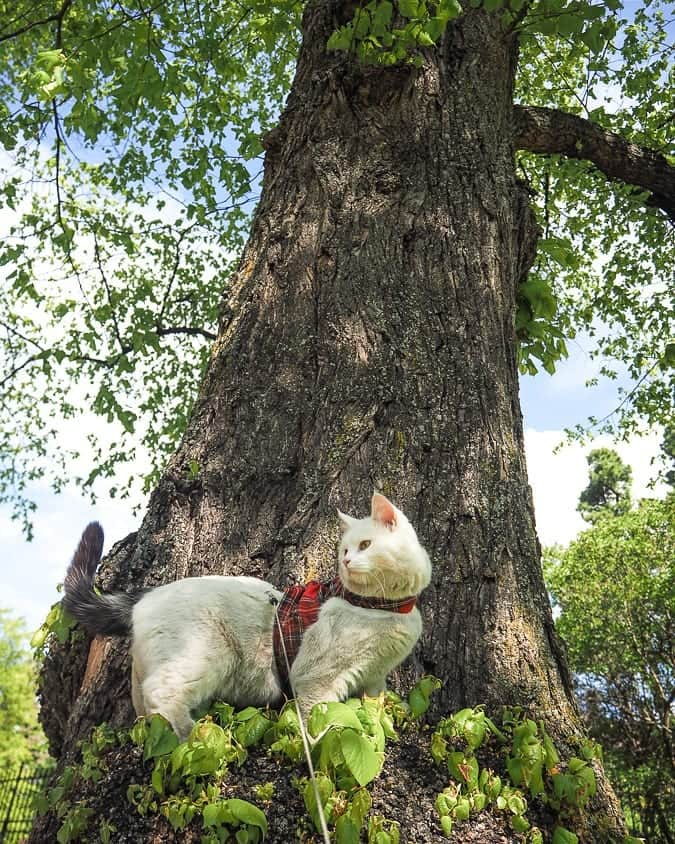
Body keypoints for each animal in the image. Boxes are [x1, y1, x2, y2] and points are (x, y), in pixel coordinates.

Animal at [63, 494, 434, 740]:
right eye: (346, 549)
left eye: (365, 545)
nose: (345, 561)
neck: (384, 608)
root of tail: (145, 596)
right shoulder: (314, 677)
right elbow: (318, 713)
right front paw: (320, 741)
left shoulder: (375, 676)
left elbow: (375, 702)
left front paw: (380, 719)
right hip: (204, 655)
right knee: (162, 693)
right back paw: (190, 733)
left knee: (144, 707)